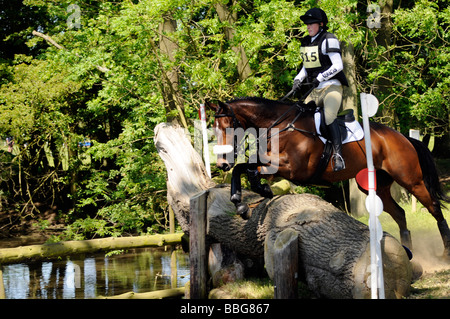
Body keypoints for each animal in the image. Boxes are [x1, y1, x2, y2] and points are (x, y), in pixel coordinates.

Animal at [207, 96, 450, 258]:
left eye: (228, 128)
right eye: (214, 129)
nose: (221, 163)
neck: (281, 126)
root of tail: (402, 137)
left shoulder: (293, 168)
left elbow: (249, 168)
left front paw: (258, 192)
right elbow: (242, 169)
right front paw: (240, 202)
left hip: (411, 179)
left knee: (434, 207)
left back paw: (445, 250)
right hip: (376, 185)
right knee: (399, 213)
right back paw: (409, 250)